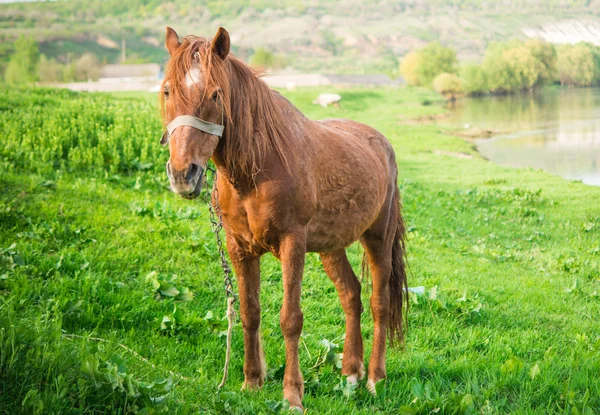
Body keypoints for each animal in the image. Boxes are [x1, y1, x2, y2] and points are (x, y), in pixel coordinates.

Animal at [159, 27, 408, 412]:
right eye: (168, 90)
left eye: (216, 93)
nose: (184, 174)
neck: (259, 167)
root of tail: (381, 143)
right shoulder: (239, 248)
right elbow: (249, 311)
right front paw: (251, 381)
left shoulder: (293, 245)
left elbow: (290, 319)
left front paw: (293, 395)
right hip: (330, 247)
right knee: (351, 295)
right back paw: (350, 372)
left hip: (377, 238)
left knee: (379, 303)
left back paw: (374, 379)